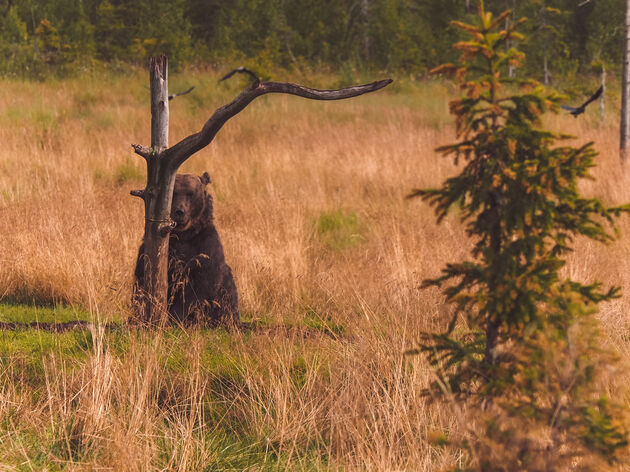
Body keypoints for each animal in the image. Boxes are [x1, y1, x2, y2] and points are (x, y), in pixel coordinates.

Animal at [133, 171, 239, 326]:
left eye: (190, 193)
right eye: (174, 193)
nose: (179, 211)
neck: (184, 235)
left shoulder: (206, 248)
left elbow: (198, 287)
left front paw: (176, 317)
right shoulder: (156, 250)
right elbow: (142, 280)